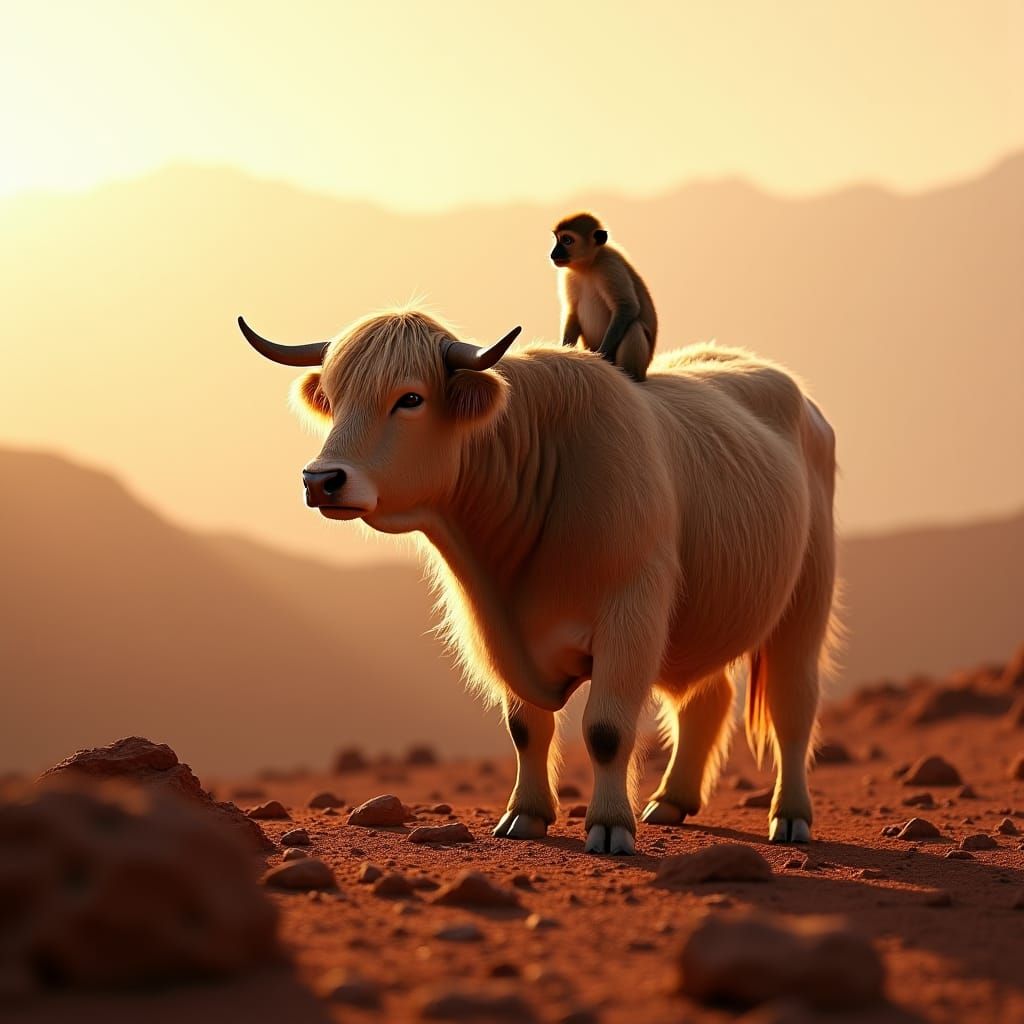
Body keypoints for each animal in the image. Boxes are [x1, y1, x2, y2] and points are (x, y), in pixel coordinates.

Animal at [239, 309, 838, 854]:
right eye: (333, 397)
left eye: (410, 398)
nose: (321, 480)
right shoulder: (502, 635)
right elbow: (525, 727)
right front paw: (524, 815)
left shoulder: (631, 617)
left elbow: (606, 729)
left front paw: (610, 826)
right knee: (706, 699)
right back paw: (671, 801)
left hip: (806, 601)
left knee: (792, 704)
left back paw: (790, 817)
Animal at [550, 212, 657, 382]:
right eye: (557, 239)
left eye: (567, 240)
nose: (553, 253)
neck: (587, 266)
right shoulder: (568, 275)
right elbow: (572, 311)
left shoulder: (609, 265)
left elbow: (627, 307)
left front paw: (602, 356)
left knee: (634, 326)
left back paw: (629, 376)